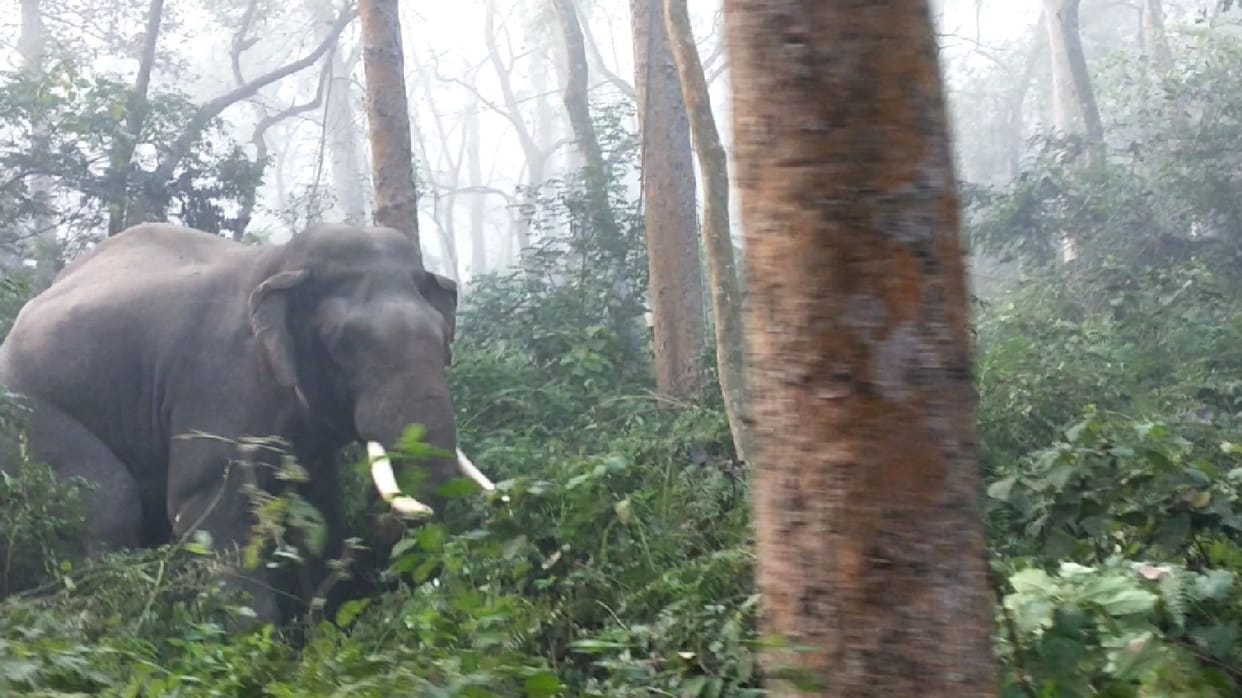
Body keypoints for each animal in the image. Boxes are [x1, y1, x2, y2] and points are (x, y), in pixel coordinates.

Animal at [0, 221, 493, 621]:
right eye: (345, 342)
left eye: (443, 336)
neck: (277, 264)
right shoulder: (217, 381)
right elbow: (208, 506)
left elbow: (318, 509)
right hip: (27, 409)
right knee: (110, 501)